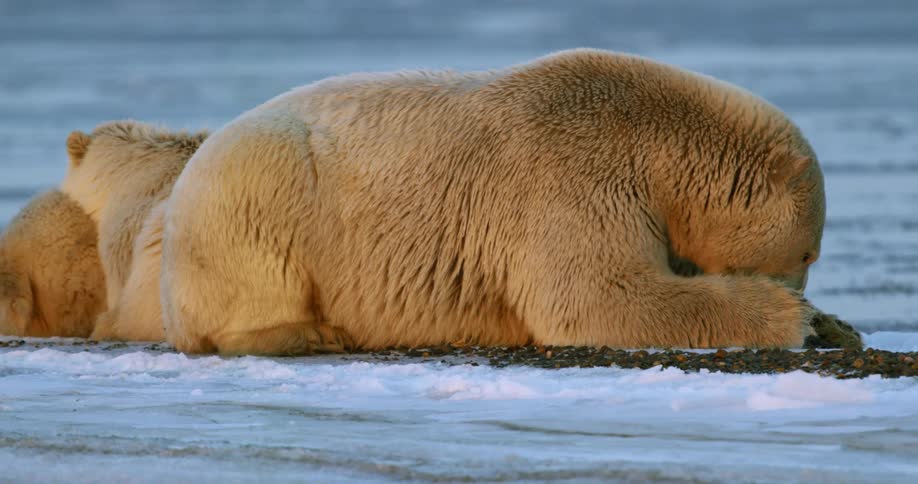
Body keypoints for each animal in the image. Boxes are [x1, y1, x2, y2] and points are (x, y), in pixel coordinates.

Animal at [159, 48, 830, 355]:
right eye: (808, 254)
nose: (804, 293)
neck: (651, 135)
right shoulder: (575, 174)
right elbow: (595, 296)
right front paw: (791, 319)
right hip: (260, 184)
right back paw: (315, 333)